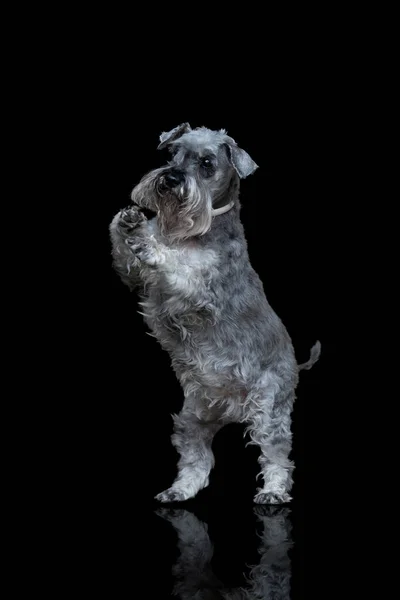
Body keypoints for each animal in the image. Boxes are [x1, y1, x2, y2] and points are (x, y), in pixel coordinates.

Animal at [108, 123, 320, 502]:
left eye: (206, 163)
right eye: (171, 153)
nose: (170, 179)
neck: (186, 234)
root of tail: (232, 411)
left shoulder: (200, 289)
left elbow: (174, 263)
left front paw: (147, 242)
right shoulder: (137, 279)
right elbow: (124, 254)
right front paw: (128, 221)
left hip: (268, 409)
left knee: (277, 453)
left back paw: (273, 492)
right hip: (192, 419)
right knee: (197, 460)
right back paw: (178, 491)